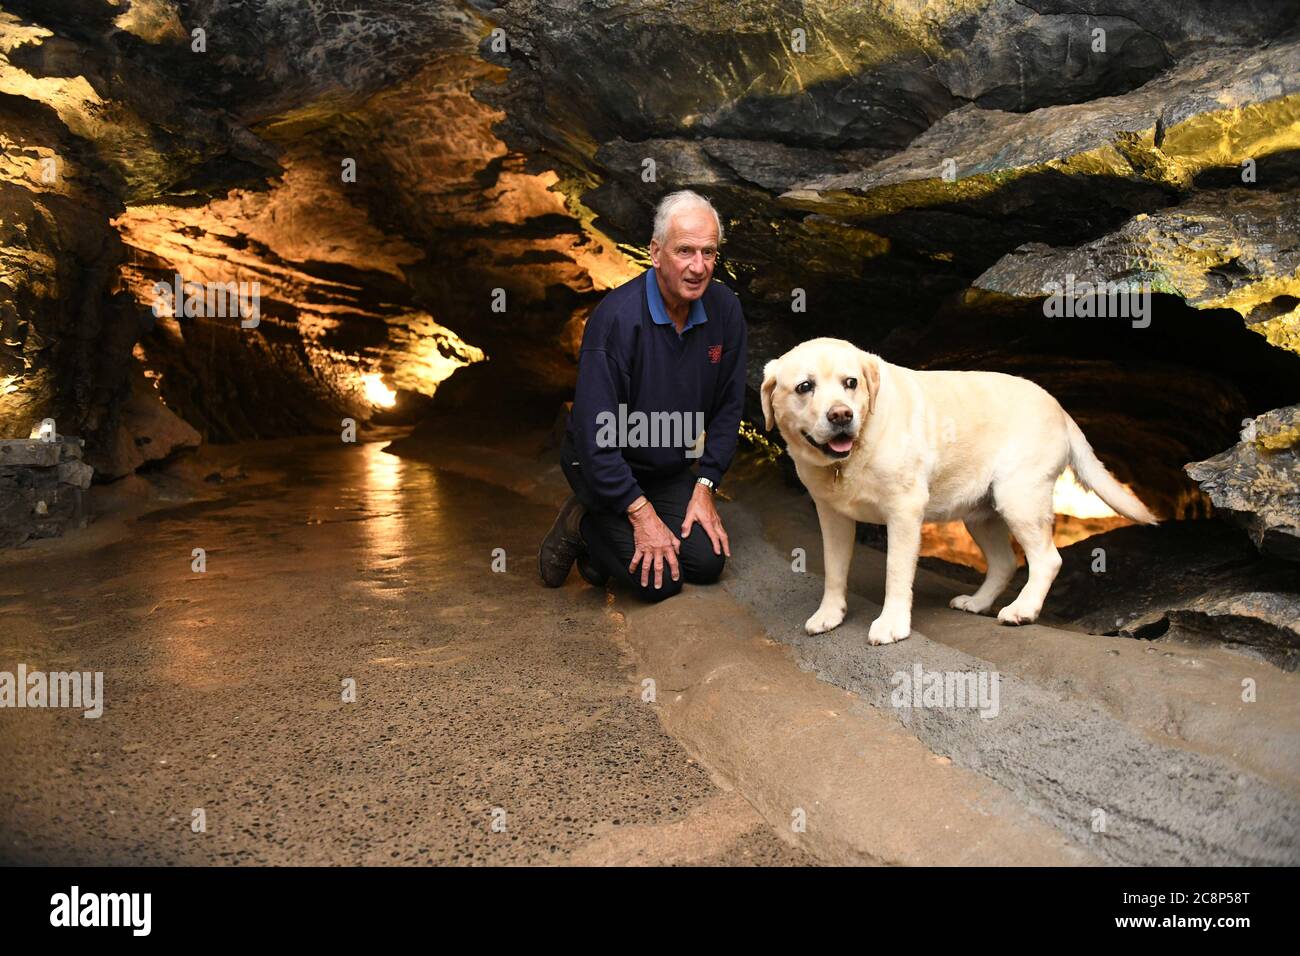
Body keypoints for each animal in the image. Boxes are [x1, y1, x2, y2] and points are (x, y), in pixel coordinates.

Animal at [759, 340, 1159, 647]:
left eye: (850, 382)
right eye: (805, 387)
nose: (841, 415)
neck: (853, 454)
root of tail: (1060, 408)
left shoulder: (904, 512)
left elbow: (895, 572)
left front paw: (892, 624)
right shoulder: (832, 515)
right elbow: (834, 568)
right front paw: (829, 614)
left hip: (1019, 498)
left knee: (1047, 560)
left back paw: (1022, 610)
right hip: (981, 514)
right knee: (1005, 563)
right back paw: (979, 603)